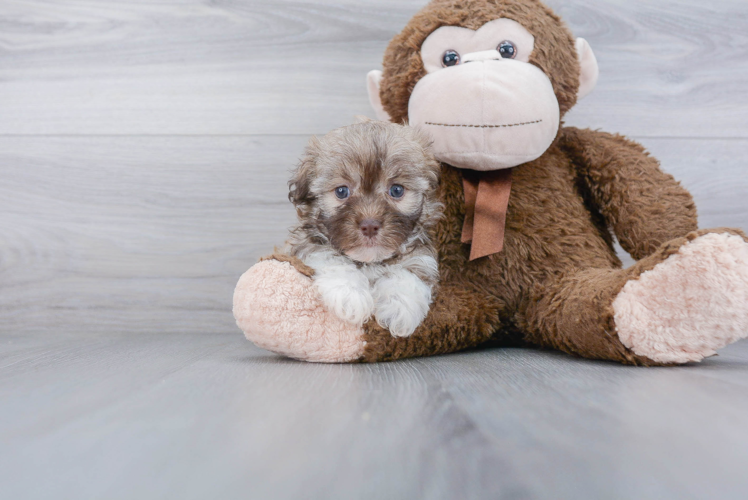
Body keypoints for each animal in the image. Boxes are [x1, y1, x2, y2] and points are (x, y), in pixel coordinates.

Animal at [284, 119, 438, 338]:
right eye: (342, 191)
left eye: (396, 190)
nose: (370, 225)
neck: (369, 261)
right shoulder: (308, 245)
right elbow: (331, 258)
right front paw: (350, 295)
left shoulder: (419, 254)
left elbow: (409, 272)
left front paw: (399, 306)